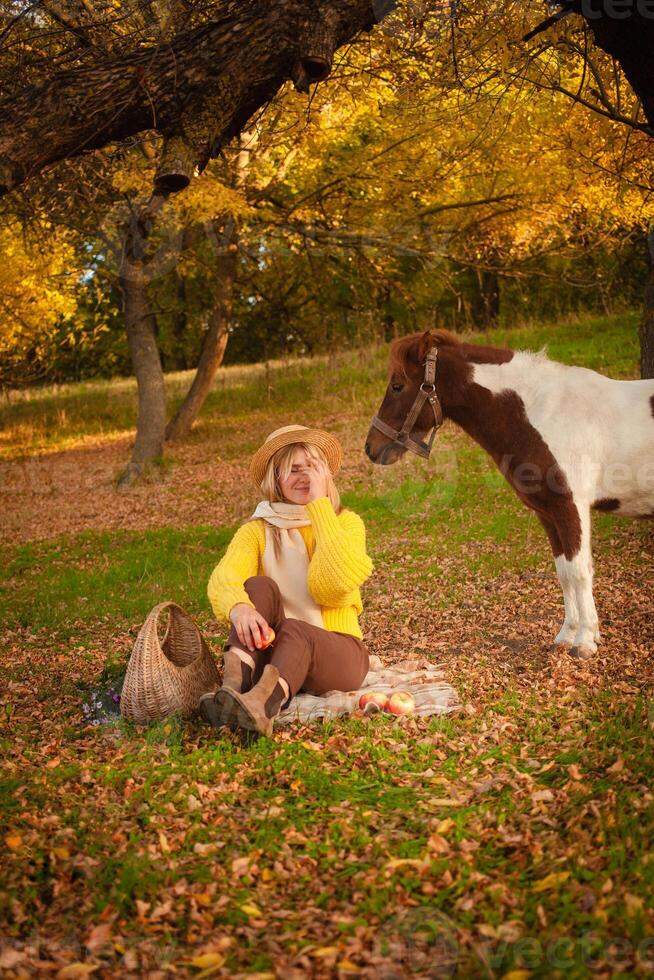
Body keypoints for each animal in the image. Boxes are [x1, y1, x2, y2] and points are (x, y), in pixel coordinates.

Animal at [364, 330, 654, 660]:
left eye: (398, 386)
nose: (371, 448)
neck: (541, 414)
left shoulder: (572, 508)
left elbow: (580, 572)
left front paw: (584, 642)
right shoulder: (549, 514)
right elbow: (564, 573)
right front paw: (566, 636)